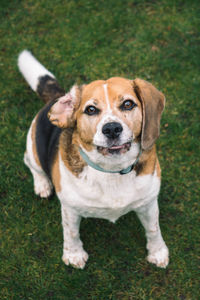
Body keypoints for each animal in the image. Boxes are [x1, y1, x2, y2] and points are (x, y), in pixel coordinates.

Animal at [18, 49, 169, 270]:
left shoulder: (148, 202)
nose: (112, 128)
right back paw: (42, 184)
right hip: (32, 149)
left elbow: (153, 229)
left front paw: (157, 252)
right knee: (31, 164)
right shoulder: (70, 208)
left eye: (128, 104)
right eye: (91, 109)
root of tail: (57, 97)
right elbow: (71, 232)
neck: (112, 171)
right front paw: (73, 254)